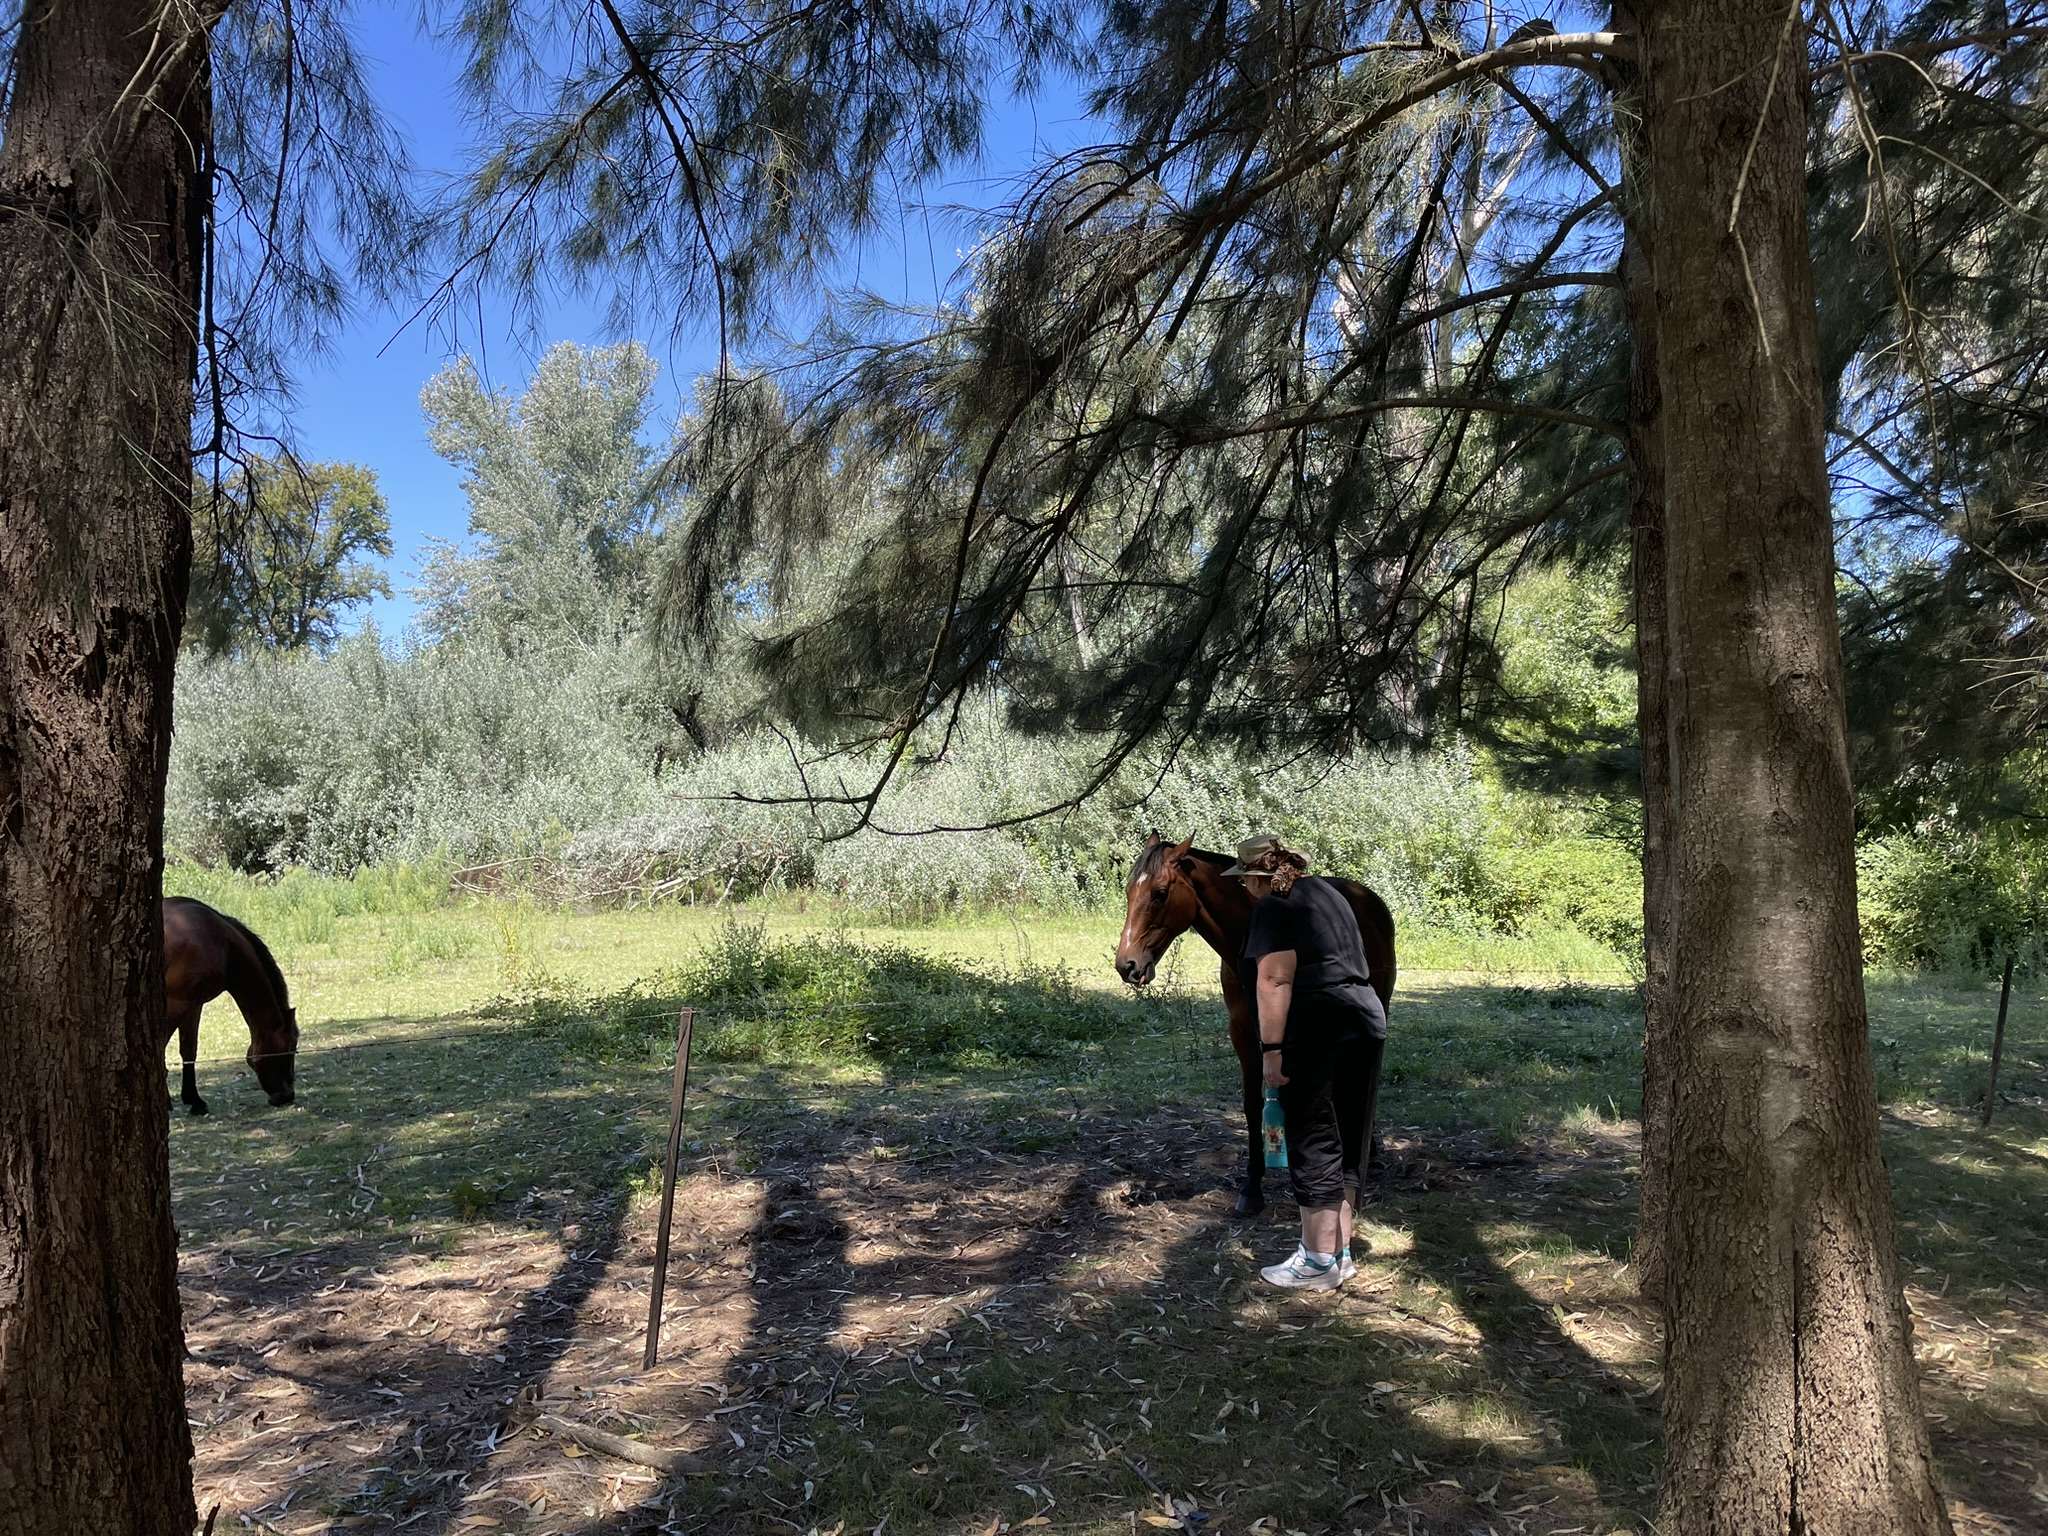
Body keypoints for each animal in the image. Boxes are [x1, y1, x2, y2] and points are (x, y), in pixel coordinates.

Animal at [163, 896, 299, 1114]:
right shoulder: (179, 1004)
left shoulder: (193, 1005)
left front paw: (194, 1100)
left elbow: (189, 1050)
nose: (287, 1095)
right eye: (290, 1048)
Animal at [1114, 832, 1396, 1217]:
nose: (1126, 965)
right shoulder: (1245, 1036)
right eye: (1130, 890)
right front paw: (1252, 1187)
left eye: (1159, 893)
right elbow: (1252, 1106)